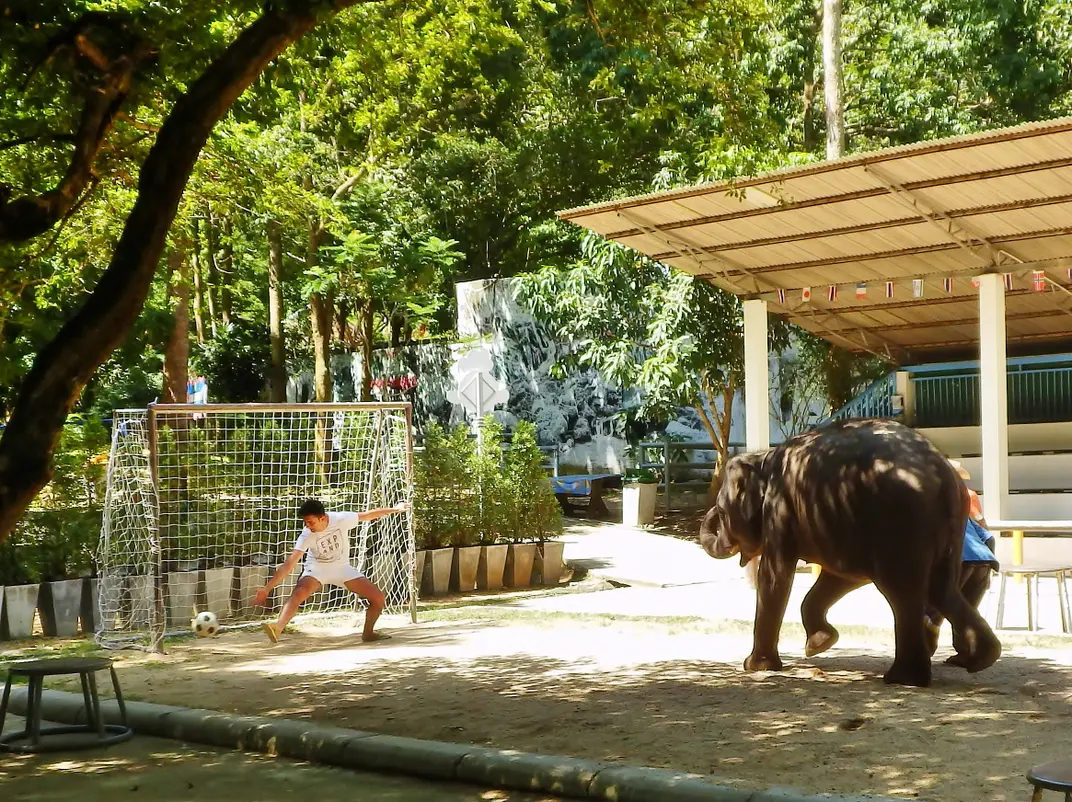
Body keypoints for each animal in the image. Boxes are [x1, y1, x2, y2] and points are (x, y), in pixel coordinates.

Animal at [698, 416, 999, 686]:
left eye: (722, 511)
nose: (712, 515)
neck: (763, 458)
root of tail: (942, 476)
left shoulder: (780, 508)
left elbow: (775, 576)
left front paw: (756, 667)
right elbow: (842, 578)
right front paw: (819, 644)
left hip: (900, 524)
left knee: (903, 594)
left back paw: (903, 679)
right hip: (948, 528)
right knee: (941, 587)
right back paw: (977, 660)